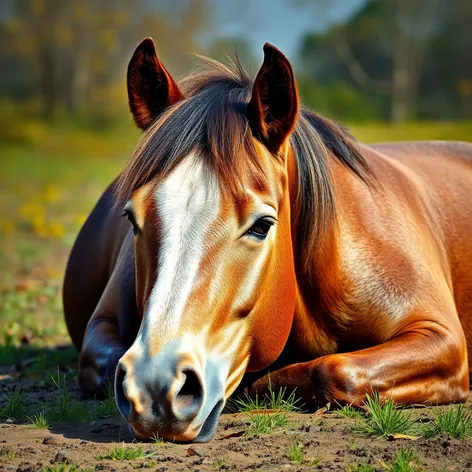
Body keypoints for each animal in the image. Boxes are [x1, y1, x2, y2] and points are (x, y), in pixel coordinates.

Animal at [63, 38, 472, 444]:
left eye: (262, 225)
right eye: (132, 219)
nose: (155, 388)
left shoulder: (442, 338)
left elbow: (334, 371)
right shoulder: (102, 326)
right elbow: (108, 367)